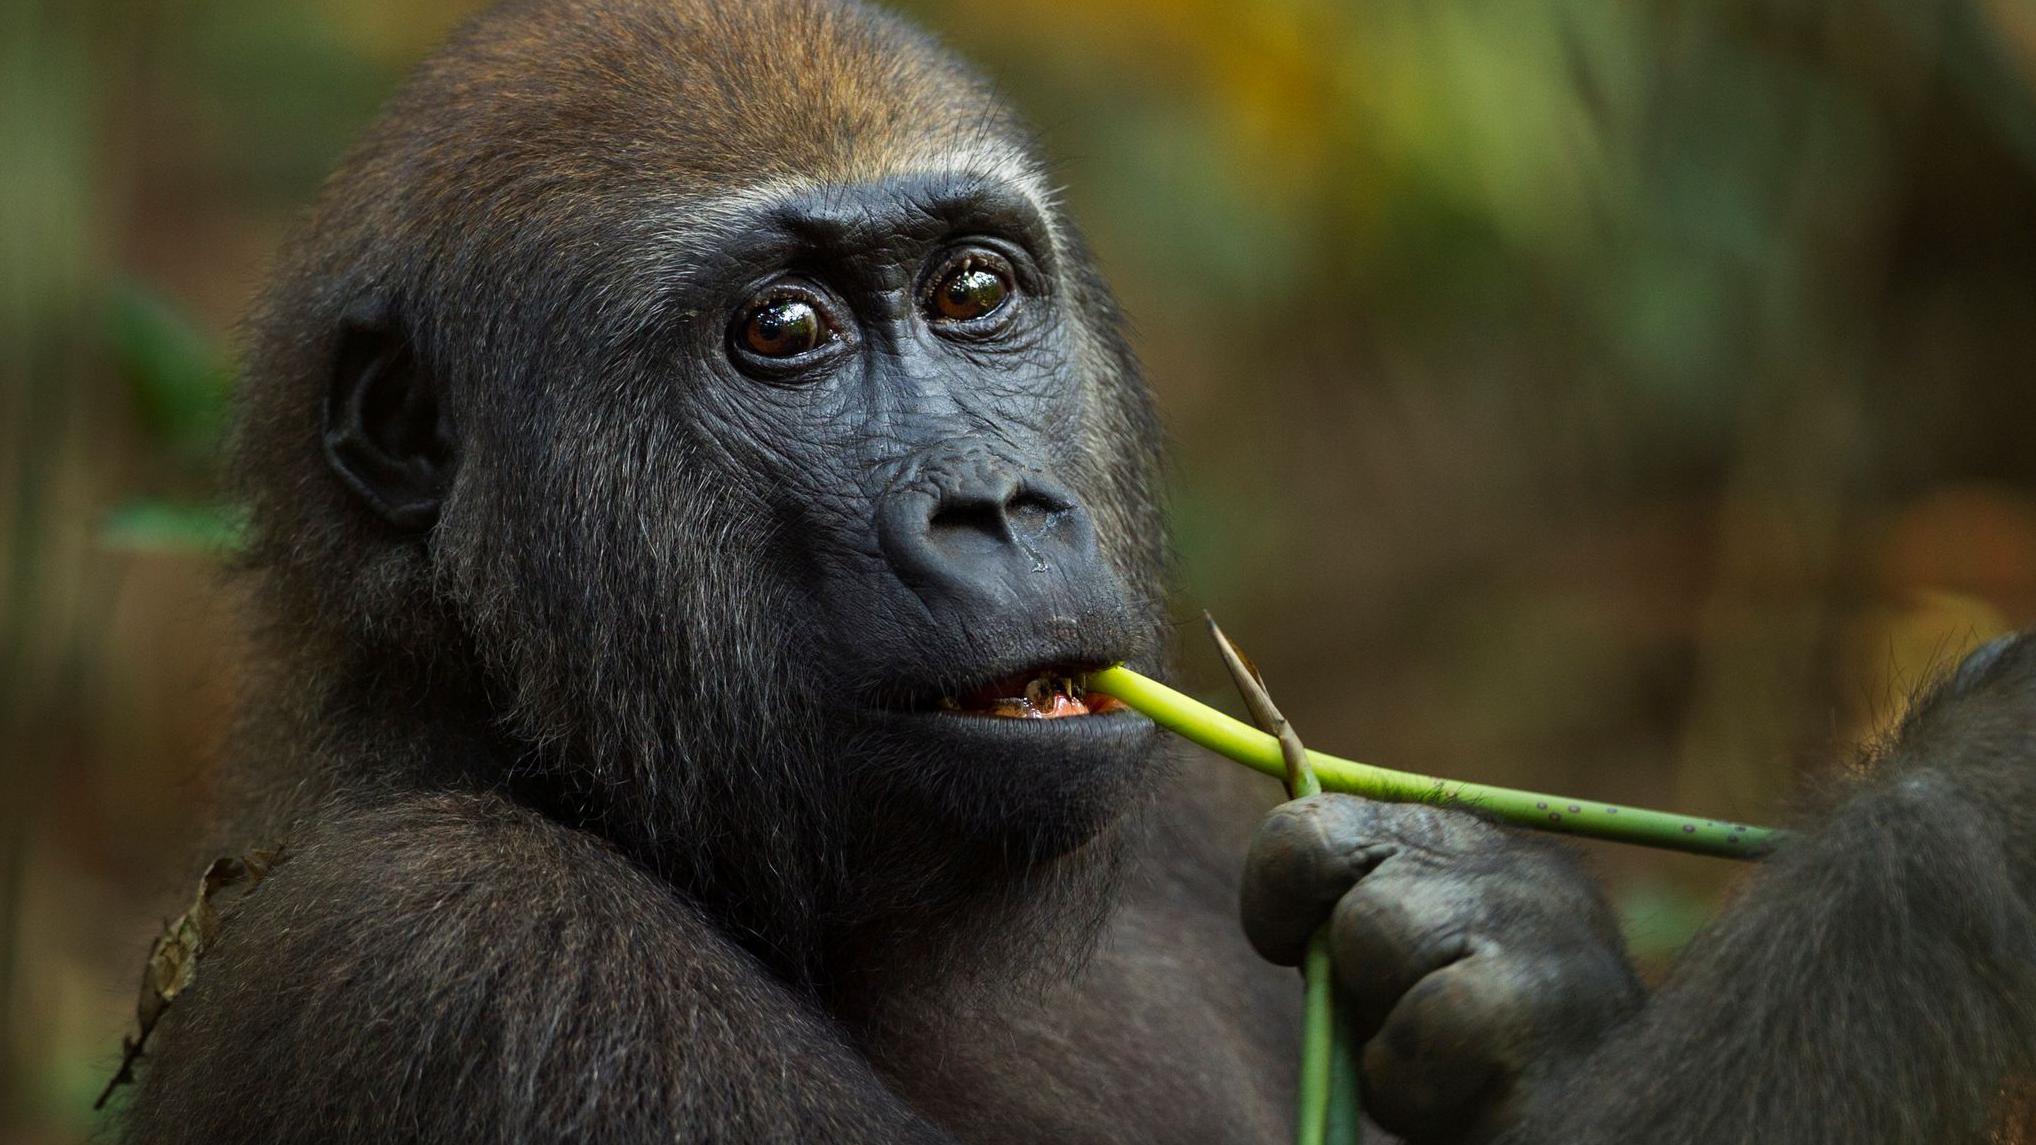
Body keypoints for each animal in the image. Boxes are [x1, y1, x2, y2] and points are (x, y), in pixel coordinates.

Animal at [115, 2, 2036, 1140]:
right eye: (783, 334)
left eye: (973, 290)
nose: (1001, 505)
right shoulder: (459, 950)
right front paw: (1962, 817)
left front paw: (1508, 958)